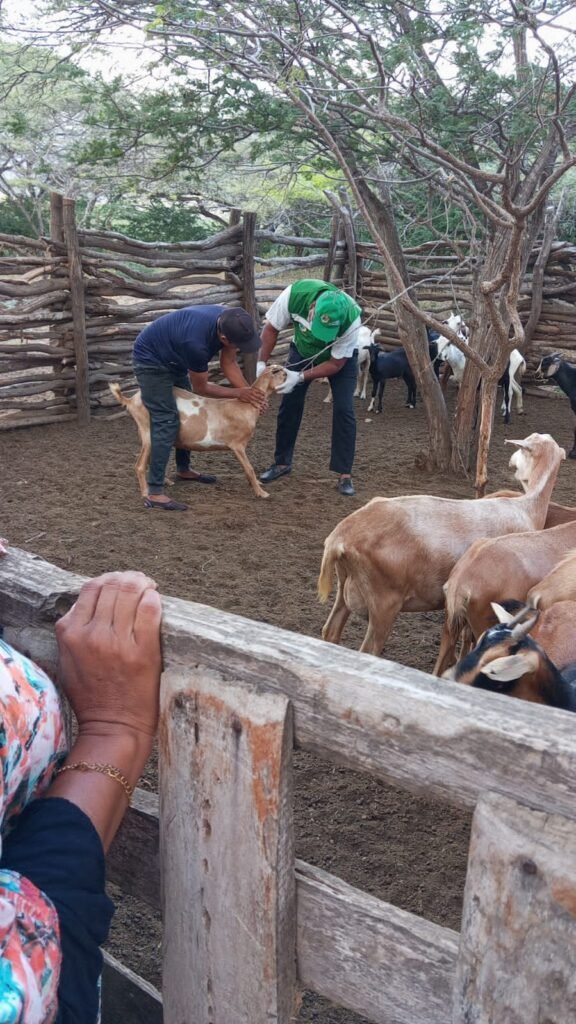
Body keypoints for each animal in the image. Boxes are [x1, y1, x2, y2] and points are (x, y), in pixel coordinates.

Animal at [108, 364, 282, 499]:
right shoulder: (237, 445)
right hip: (148, 433)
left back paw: (166, 482)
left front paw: (257, 484)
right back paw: (146, 493)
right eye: (283, 372)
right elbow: (249, 468)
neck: (245, 407)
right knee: (139, 465)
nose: (290, 373)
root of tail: (131, 400)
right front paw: (262, 493)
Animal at [317, 432, 565, 655]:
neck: (528, 506)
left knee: (330, 631)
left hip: (346, 586)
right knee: (368, 649)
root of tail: (341, 535)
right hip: (384, 603)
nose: (511, 460)